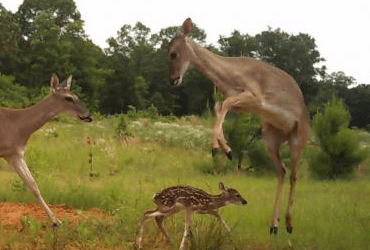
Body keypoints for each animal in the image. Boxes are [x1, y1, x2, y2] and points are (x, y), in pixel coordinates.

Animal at [0, 74, 92, 227]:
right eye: (68, 98)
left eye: (76, 95)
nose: (89, 116)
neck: (18, 127)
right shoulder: (11, 154)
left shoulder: (16, 154)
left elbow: (34, 186)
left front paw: (56, 221)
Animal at [167, 18, 310, 234]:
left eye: (173, 53)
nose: (173, 79)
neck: (231, 73)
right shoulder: (240, 103)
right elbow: (219, 106)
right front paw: (226, 150)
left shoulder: (254, 98)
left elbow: (223, 105)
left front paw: (217, 149)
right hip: (270, 139)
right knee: (282, 171)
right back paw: (273, 226)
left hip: (297, 141)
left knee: (294, 175)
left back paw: (288, 224)